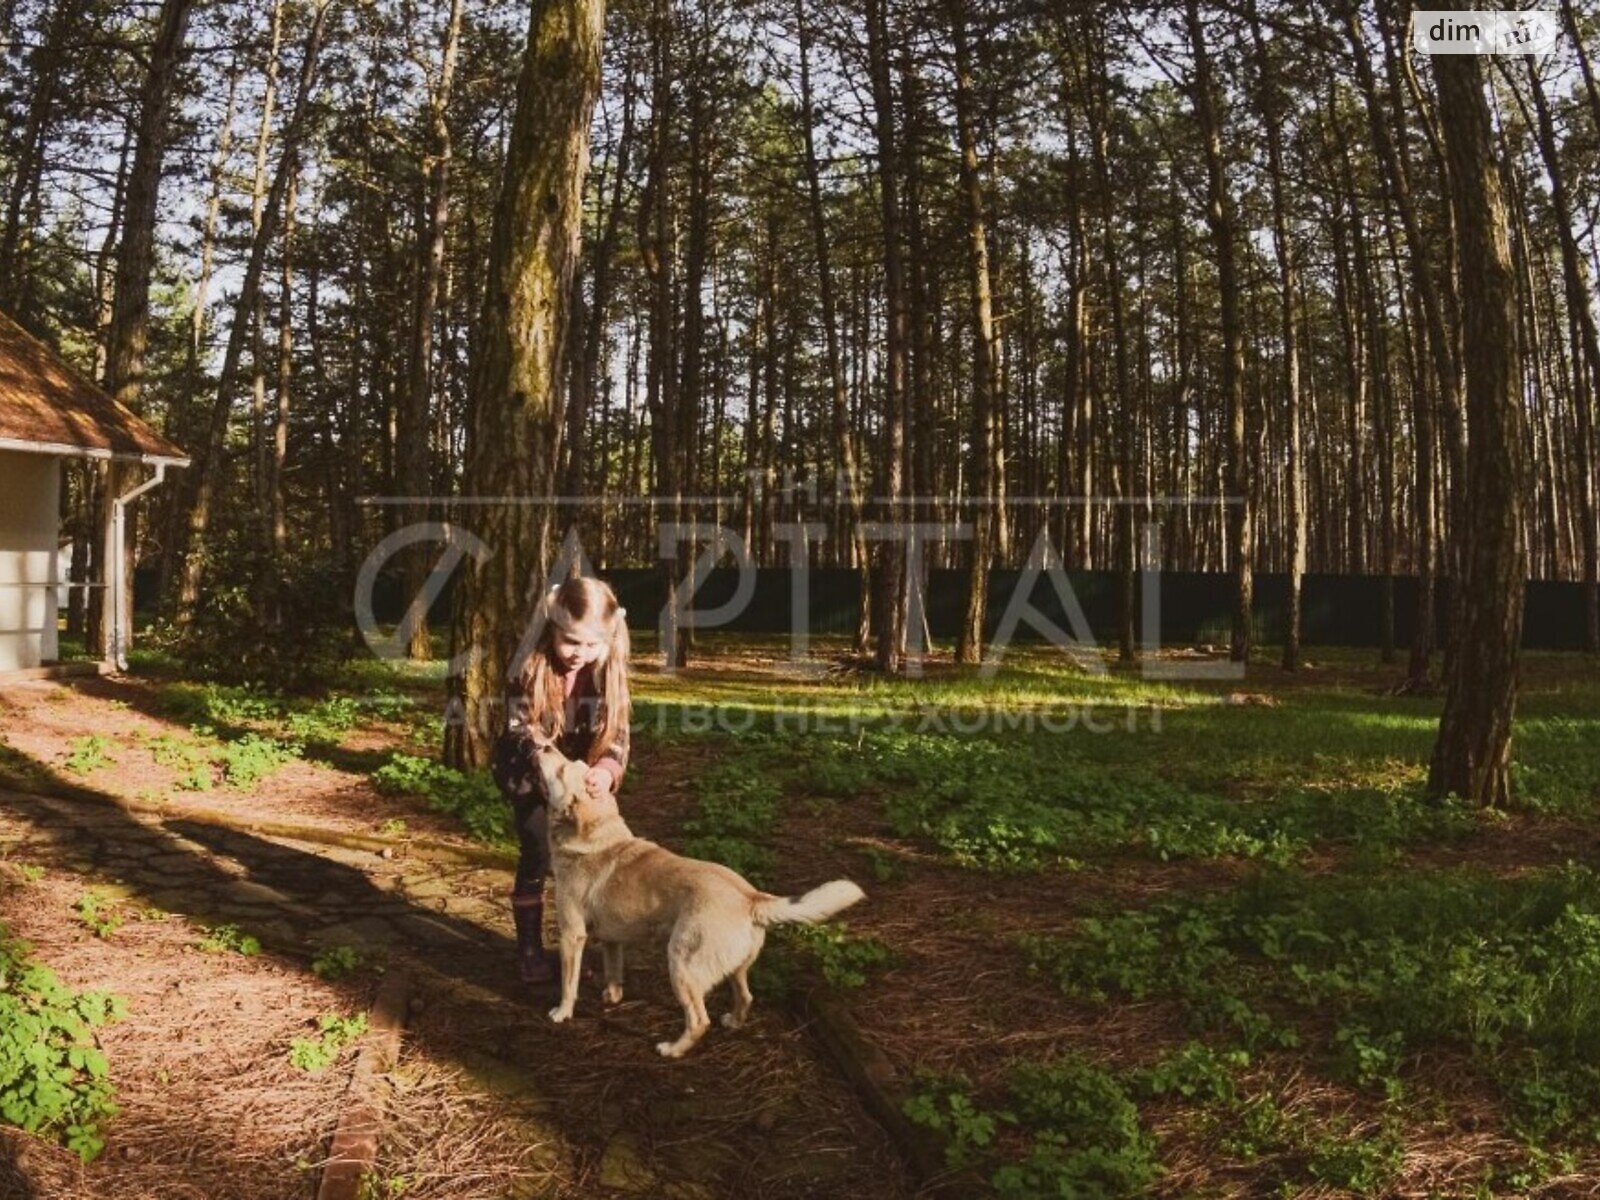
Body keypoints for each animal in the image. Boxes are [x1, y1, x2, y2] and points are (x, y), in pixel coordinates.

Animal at [534, 748, 864, 1056]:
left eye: (562, 769)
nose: (547, 746)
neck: (595, 838)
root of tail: (751, 897)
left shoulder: (572, 935)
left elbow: (568, 985)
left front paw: (562, 1013)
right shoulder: (612, 940)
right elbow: (613, 973)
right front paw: (612, 998)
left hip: (681, 964)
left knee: (698, 1020)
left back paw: (672, 1049)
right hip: (734, 968)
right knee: (746, 997)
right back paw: (732, 1022)